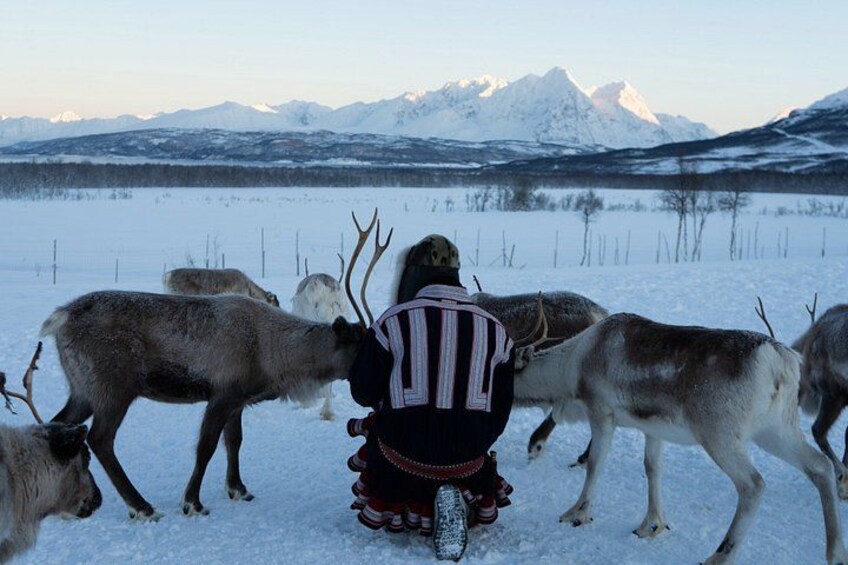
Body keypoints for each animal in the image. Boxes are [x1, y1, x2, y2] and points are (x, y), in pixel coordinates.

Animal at [512, 309, 848, 565]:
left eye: (508, 369)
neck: (573, 366)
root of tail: (779, 360)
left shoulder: (601, 413)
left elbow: (595, 464)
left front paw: (577, 513)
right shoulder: (653, 428)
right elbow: (652, 469)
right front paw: (652, 525)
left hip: (720, 435)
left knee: (753, 484)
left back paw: (719, 556)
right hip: (775, 429)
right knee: (820, 466)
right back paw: (835, 552)